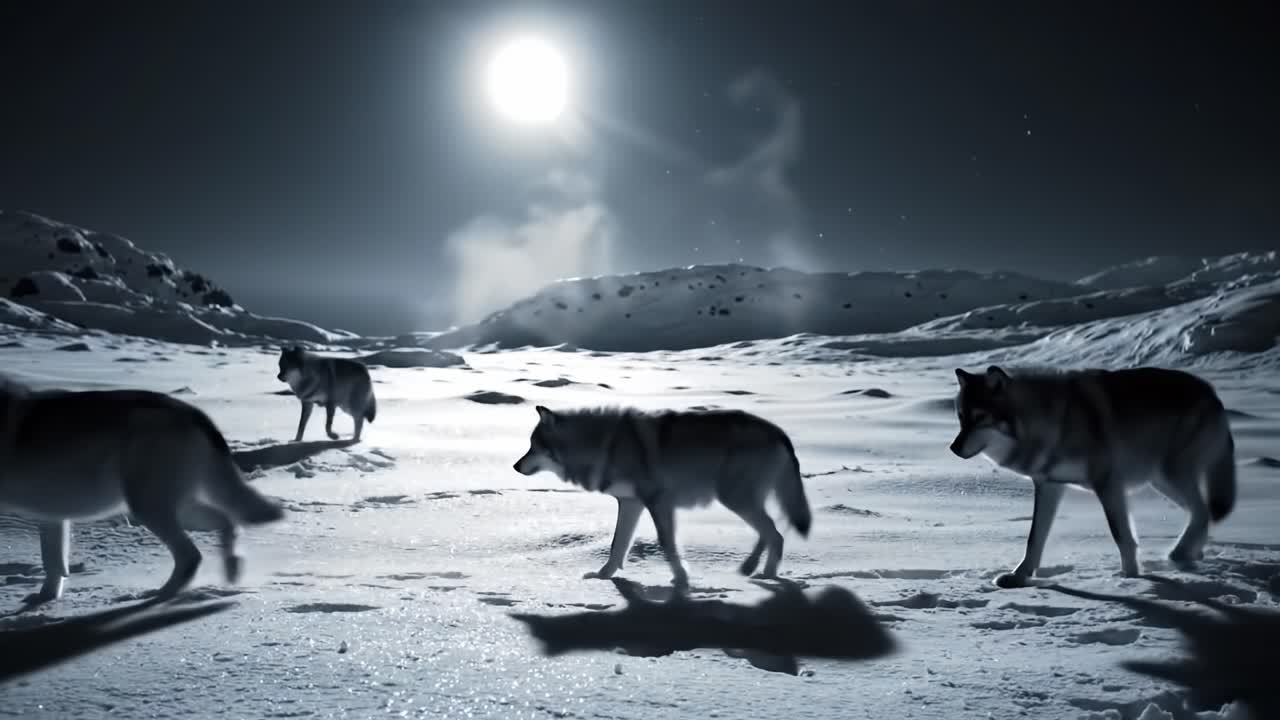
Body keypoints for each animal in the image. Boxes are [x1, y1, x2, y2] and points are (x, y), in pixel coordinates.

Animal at [0, 376, 285, 605]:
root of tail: (192, 411)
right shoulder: (52, 516)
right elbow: (54, 565)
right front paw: (44, 600)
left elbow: (53, 564)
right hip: (176, 508)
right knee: (227, 522)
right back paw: (232, 568)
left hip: (148, 509)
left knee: (192, 555)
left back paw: (161, 596)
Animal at [512, 405, 813, 593]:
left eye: (533, 446)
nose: (515, 466)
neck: (603, 446)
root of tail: (780, 433)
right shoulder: (630, 503)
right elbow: (617, 545)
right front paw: (603, 577)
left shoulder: (658, 502)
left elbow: (666, 544)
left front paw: (680, 580)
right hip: (741, 500)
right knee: (771, 532)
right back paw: (755, 570)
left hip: (735, 499)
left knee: (775, 533)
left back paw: (764, 574)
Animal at [950, 365, 1237, 588]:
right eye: (962, 418)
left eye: (980, 418)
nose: (953, 448)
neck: (1052, 423)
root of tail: (1212, 394)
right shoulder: (1049, 486)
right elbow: (1034, 539)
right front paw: (1019, 577)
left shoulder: (1108, 484)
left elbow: (1121, 535)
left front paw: (1130, 579)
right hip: (1162, 482)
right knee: (1201, 513)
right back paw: (1190, 555)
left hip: (1170, 476)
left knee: (1202, 511)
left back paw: (1179, 554)